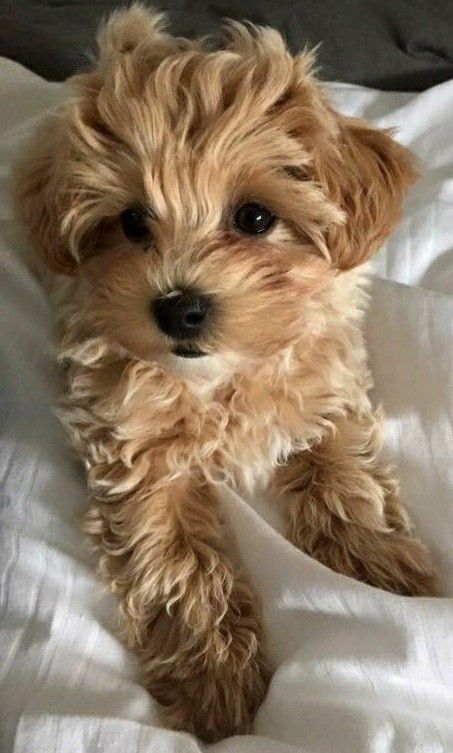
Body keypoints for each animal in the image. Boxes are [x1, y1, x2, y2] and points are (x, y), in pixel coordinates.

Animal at [15, 4, 436, 740]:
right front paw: (214, 680)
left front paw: (376, 559)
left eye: (255, 217)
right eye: (131, 222)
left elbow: (343, 465)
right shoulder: (135, 450)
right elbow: (176, 560)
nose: (178, 307)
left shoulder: (328, 376)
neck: (222, 377)